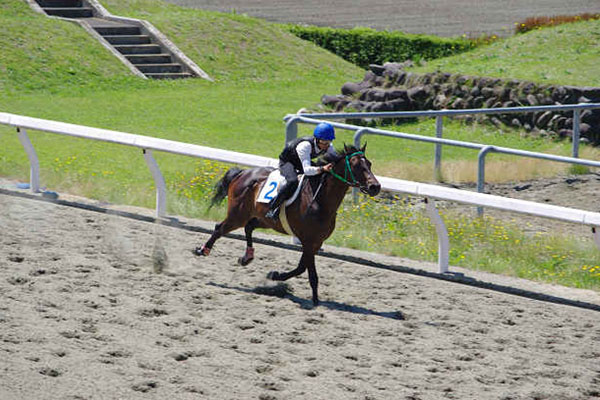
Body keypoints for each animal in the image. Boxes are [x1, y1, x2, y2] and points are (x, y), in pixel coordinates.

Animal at [193, 144, 381, 306]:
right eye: (356, 165)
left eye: (369, 164)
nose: (375, 187)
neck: (320, 199)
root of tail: (242, 173)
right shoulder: (308, 240)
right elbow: (309, 272)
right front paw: (314, 301)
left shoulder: (316, 242)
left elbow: (301, 268)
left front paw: (276, 275)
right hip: (238, 215)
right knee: (220, 228)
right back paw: (203, 250)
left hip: (264, 220)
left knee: (249, 227)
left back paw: (246, 257)